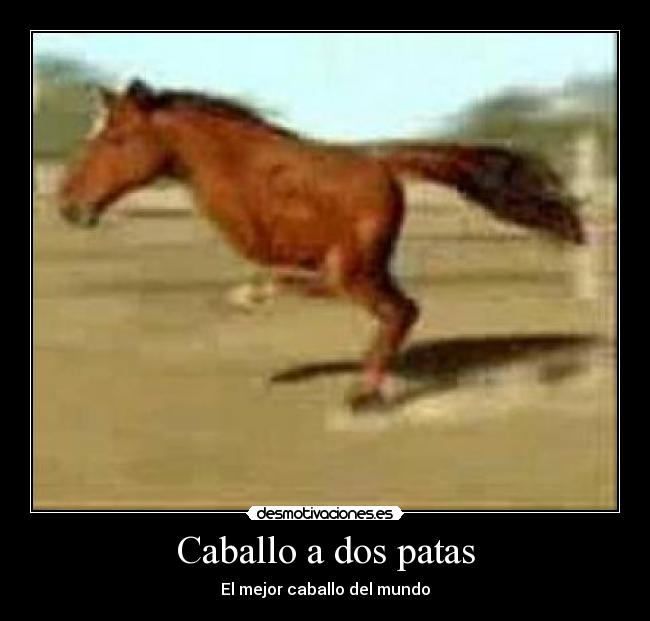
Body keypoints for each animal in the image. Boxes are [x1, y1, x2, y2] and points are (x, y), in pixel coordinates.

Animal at [59, 79, 585, 410]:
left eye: (117, 138)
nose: (68, 205)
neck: (237, 166)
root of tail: (384, 164)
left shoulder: (284, 246)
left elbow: (287, 274)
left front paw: (250, 294)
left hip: (360, 269)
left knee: (391, 309)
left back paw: (359, 393)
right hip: (373, 269)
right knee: (401, 309)